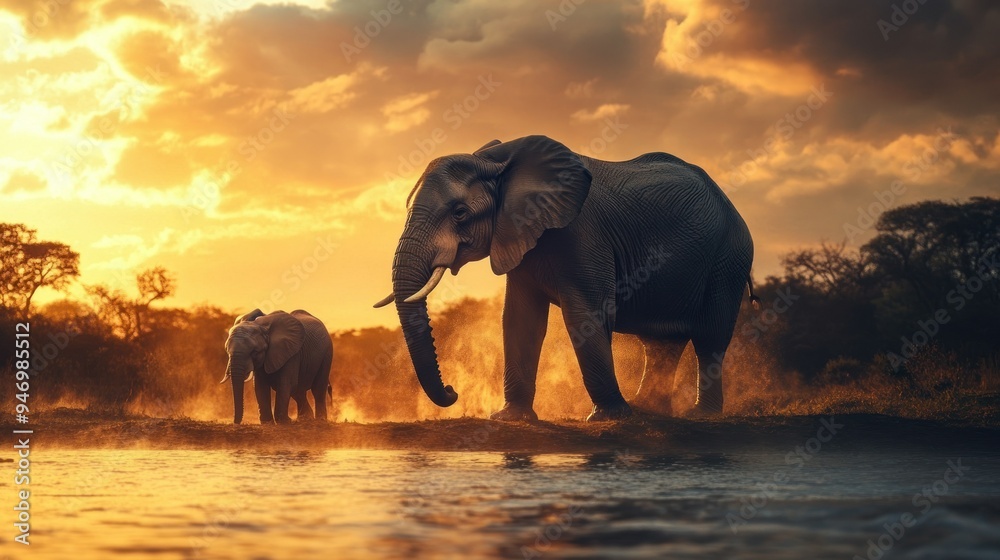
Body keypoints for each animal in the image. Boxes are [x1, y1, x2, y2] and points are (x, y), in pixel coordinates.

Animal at [373, 135, 758, 421]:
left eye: (459, 212)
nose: (453, 391)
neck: (497, 161)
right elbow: (520, 320)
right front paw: (511, 418)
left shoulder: (583, 234)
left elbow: (586, 315)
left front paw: (608, 418)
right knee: (661, 343)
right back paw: (651, 412)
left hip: (729, 258)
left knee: (711, 335)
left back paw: (698, 415)